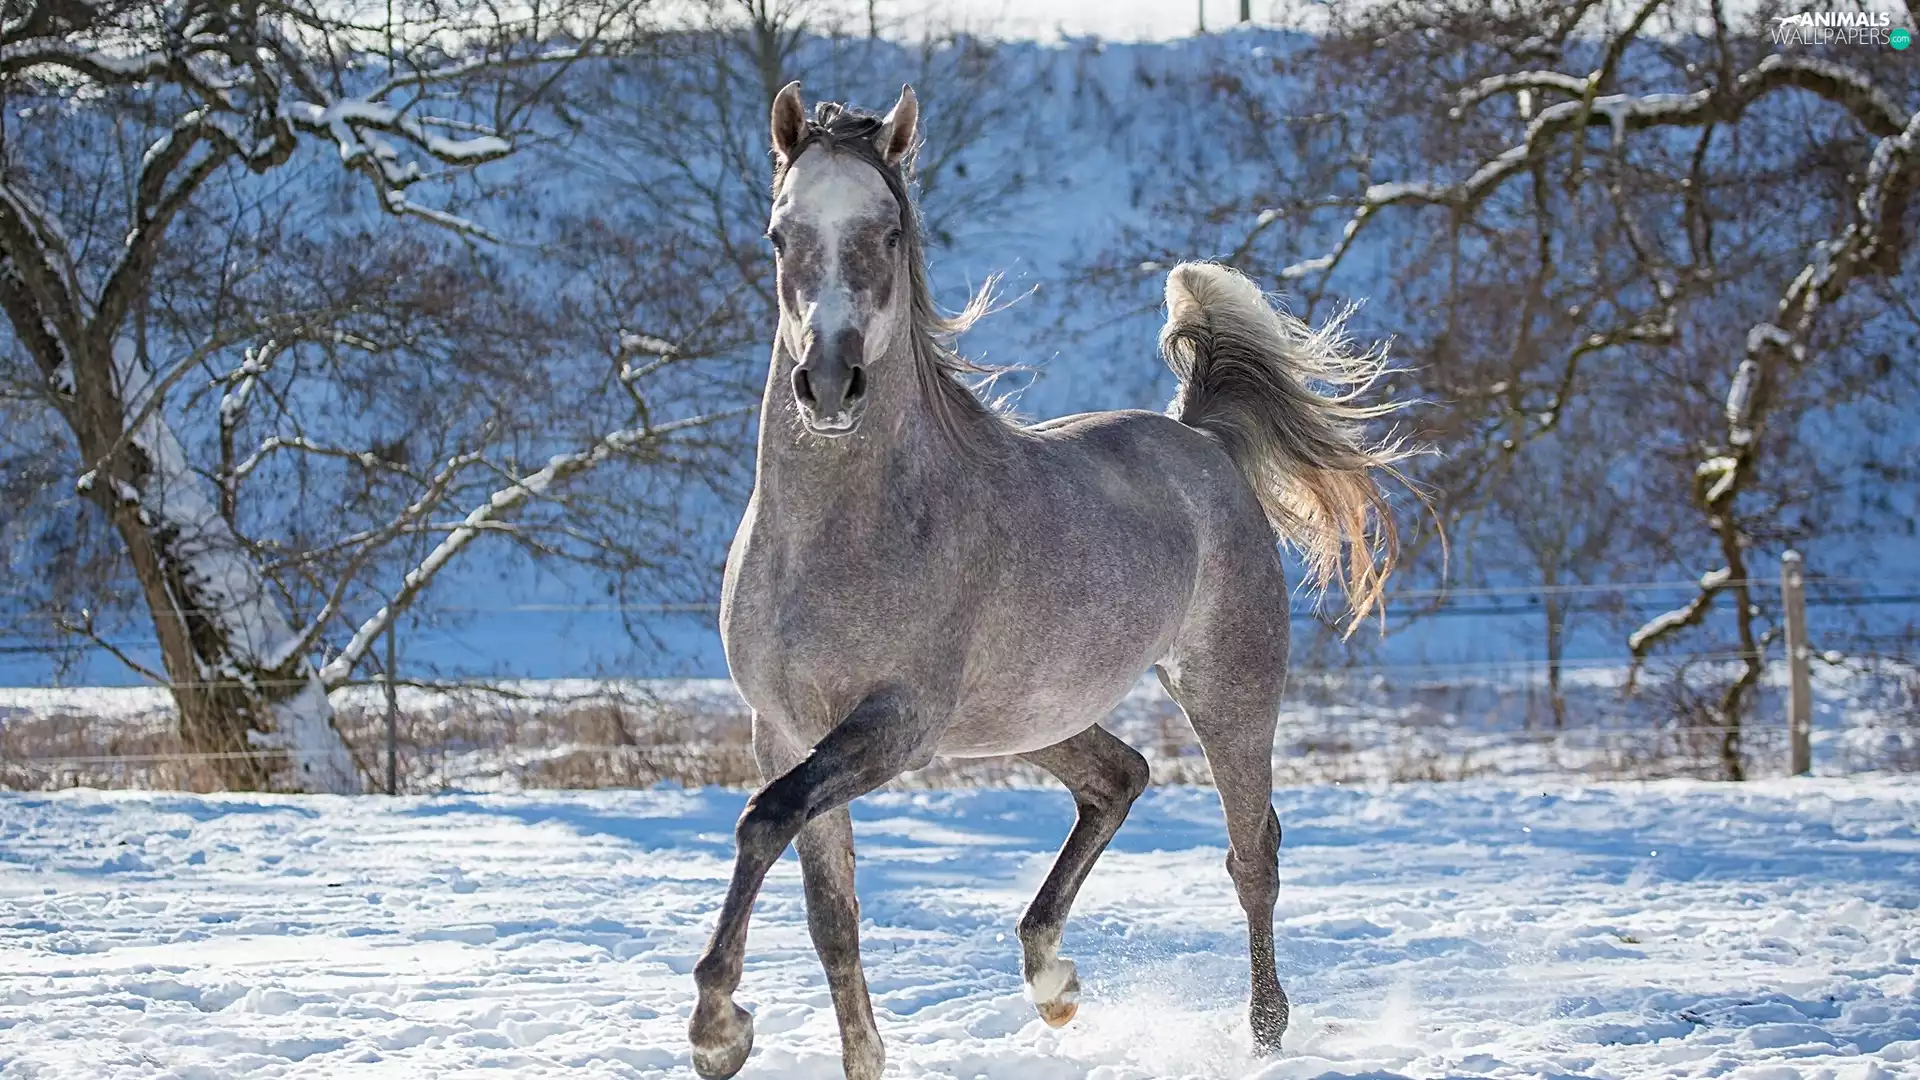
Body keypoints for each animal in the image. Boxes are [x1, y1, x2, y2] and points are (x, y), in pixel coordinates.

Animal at [689, 81, 1412, 1080]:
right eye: (778, 233)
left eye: (890, 233)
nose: (830, 384)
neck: (834, 538)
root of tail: (1202, 439)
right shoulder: (785, 729)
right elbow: (830, 917)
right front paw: (850, 1053)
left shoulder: (895, 725)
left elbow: (764, 820)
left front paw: (718, 1027)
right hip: (1031, 716)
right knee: (1119, 778)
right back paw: (1053, 981)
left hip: (1227, 693)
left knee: (1251, 854)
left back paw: (1263, 1030)